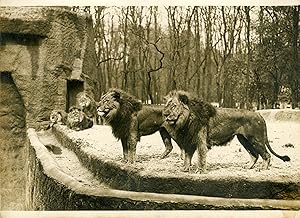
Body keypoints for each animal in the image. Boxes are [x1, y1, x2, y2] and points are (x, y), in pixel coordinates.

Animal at [163, 90, 292, 174]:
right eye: (166, 106)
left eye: (174, 106)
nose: (165, 114)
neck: (187, 119)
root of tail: (259, 115)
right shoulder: (189, 141)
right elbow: (187, 157)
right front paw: (184, 169)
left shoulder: (201, 142)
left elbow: (201, 158)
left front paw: (200, 171)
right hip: (244, 140)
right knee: (254, 155)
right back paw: (248, 166)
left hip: (256, 139)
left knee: (266, 155)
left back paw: (263, 168)